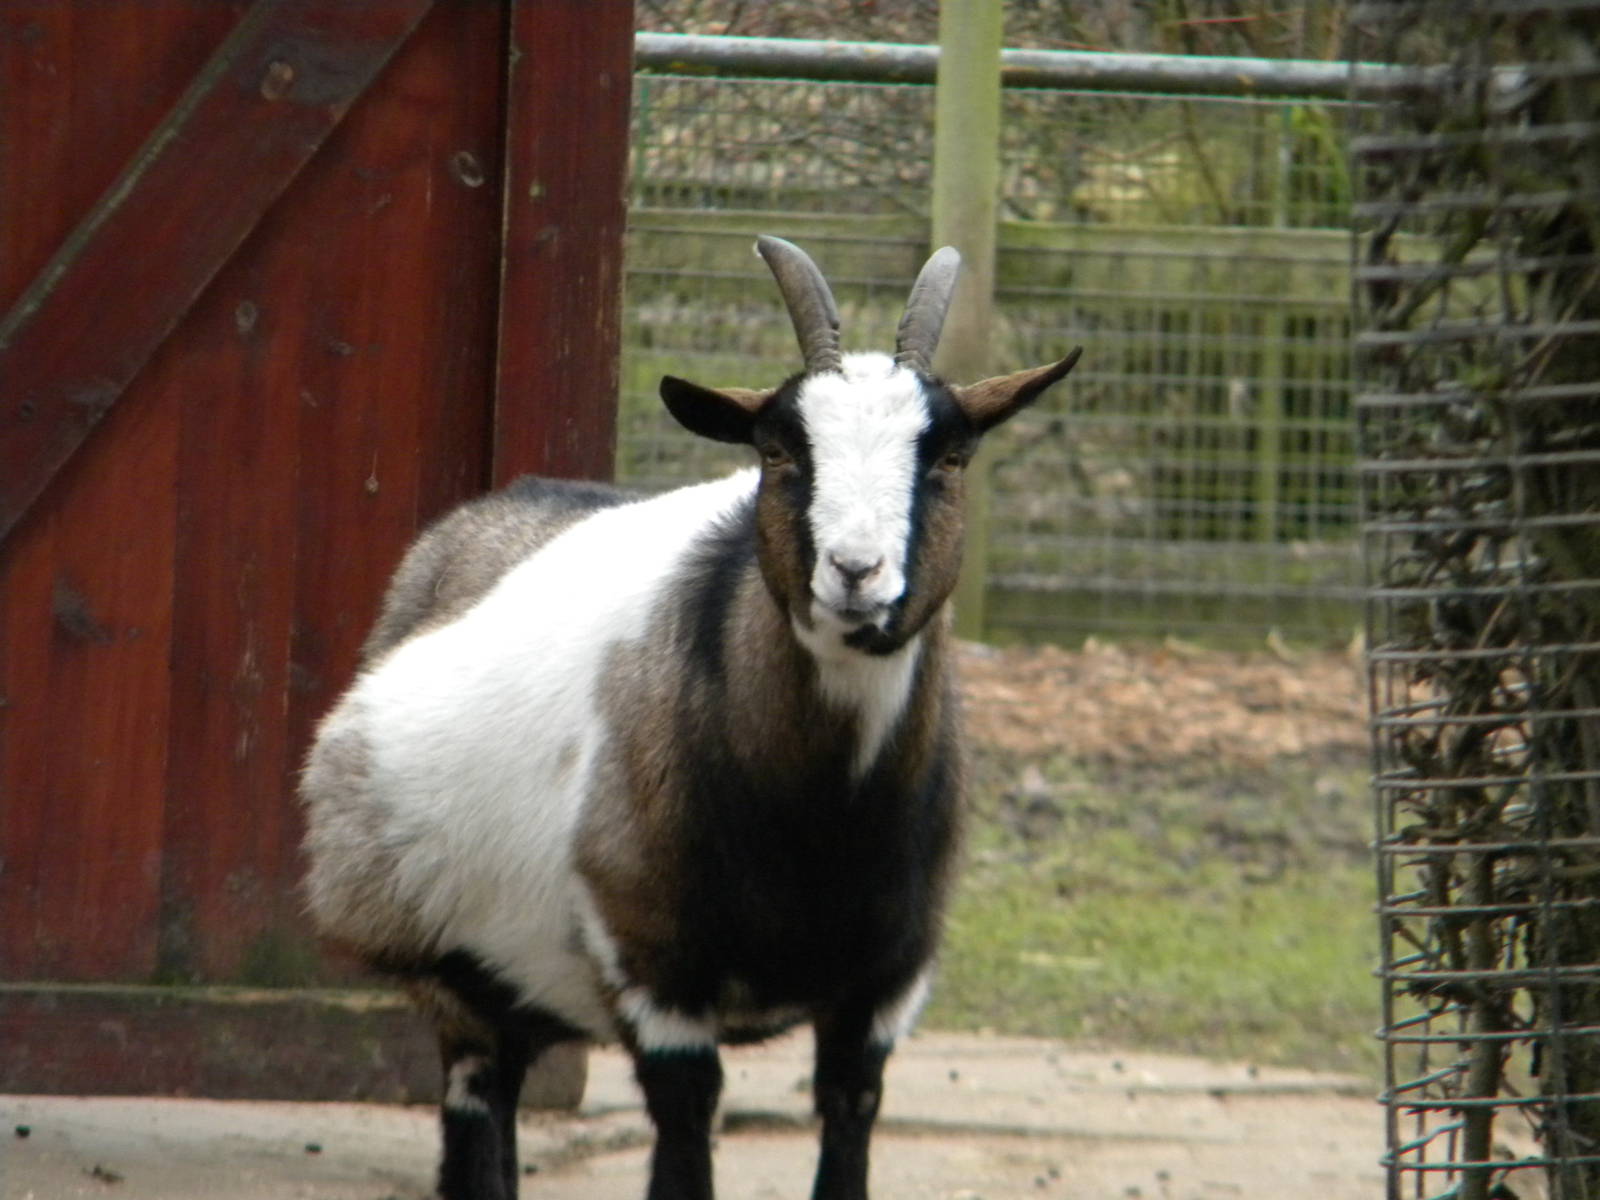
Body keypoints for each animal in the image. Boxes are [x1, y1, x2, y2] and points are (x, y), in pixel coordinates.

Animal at [300, 236, 1081, 1200]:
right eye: (779, 451)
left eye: (950, 459)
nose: (856, 572)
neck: (822, 823)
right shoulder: (654, 970)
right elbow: (684, 1135)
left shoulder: (882, 988)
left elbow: (849, 1125)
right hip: (456, 977)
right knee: (478, 1116)